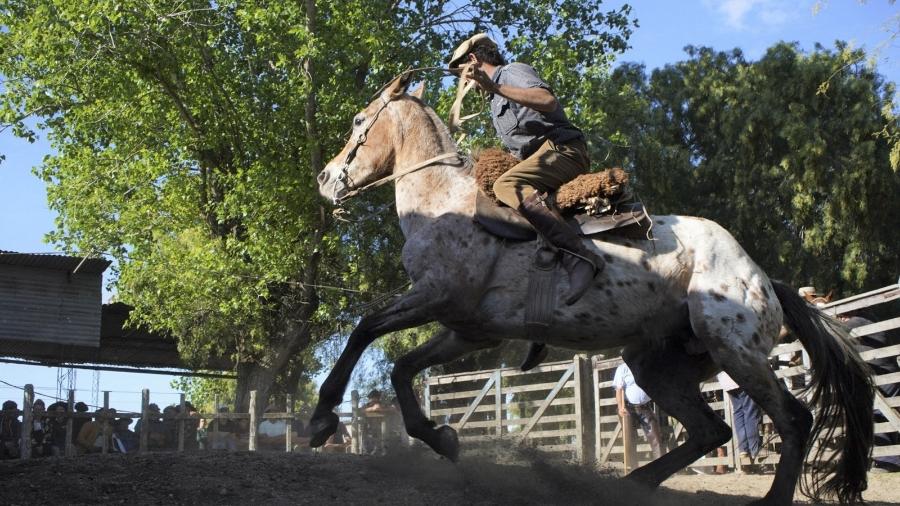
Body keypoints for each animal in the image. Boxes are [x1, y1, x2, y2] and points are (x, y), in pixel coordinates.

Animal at [310, 73, 872, 504]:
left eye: (359, 122)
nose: (325, 177)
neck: (445, 201)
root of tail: (762, 278)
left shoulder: (436, 298)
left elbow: (363, 331)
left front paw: (320, 418)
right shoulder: (467, 329)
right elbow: (402, 369)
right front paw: (441, 438)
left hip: (736, 350)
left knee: (793, 420)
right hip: (657, 364)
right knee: (711, 430)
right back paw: (631, 482)